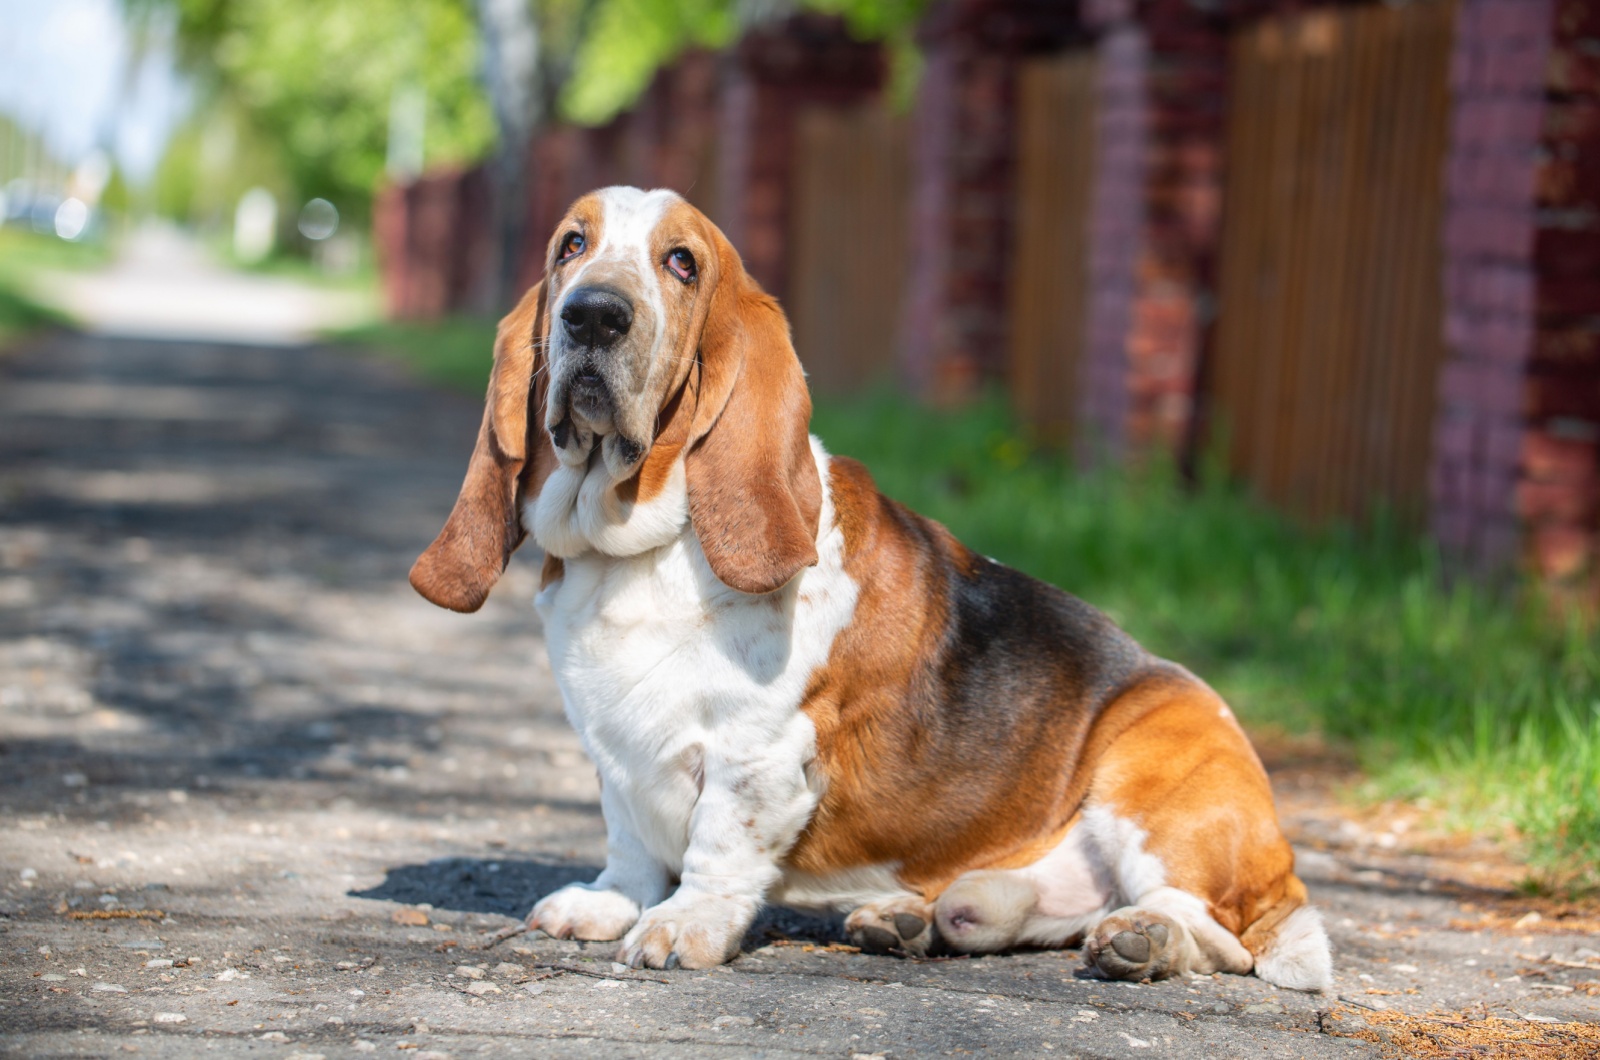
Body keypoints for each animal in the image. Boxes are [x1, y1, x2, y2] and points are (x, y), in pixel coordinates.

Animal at [406, 186, 1331, 992]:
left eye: (682, 263)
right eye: (572, 245)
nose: (594, 313)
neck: (640, 547)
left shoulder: (759, 758)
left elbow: (716, 847)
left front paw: (680, 925)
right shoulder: (617, 758)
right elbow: (630, 841)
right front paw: (610, 903)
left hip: (1153, 778)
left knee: (1222, 932)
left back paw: (1144, 940)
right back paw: (915, 918)